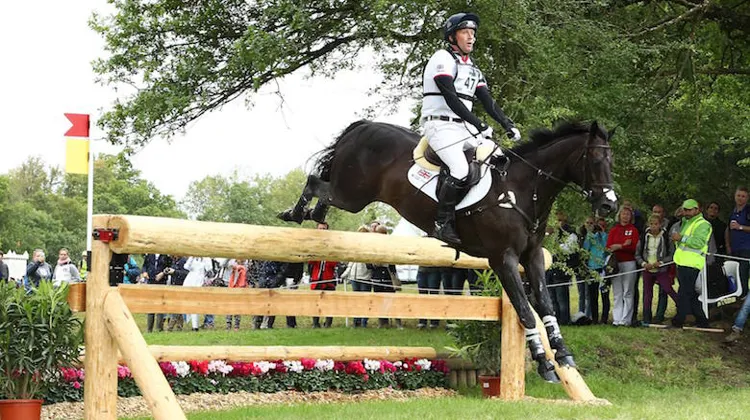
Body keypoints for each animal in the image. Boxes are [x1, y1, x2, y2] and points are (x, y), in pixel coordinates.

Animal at [278, 120, 617, 382]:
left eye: (612, 163)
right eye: (595, 162)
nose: (609, 206)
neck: (521, 190)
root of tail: (363, 127)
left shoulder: (531, 257)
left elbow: (546, 305)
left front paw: (563, 354)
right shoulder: (503, 259)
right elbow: (525, 311)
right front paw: (545, 363)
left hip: (351, 194)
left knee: (323, 190)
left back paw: (314, 215)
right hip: (352, 194)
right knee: (315, 182)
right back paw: (295, 213)